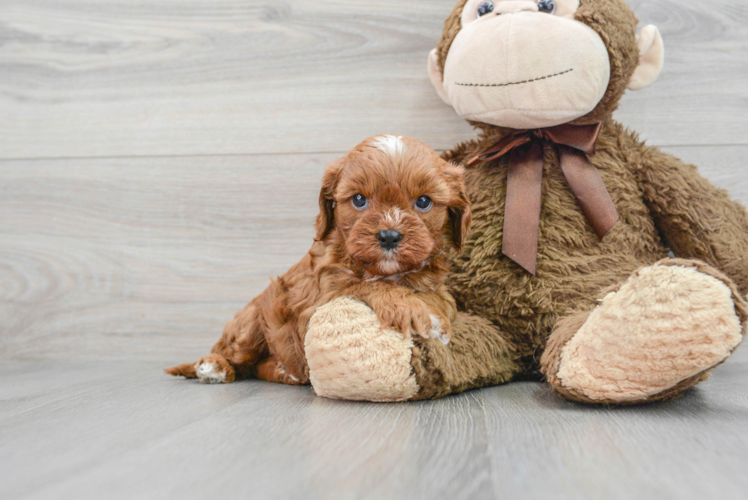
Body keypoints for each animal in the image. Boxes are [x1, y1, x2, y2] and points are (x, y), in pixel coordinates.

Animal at [166, 135, 470, 384]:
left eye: (423, 202)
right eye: (359, 199)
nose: (389, 236)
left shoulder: (434, 283)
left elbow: (443, 299)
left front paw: (433, 315)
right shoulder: (318, 301)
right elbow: (365, 285)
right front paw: (410, 308)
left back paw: (283, 370)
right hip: (252, 321)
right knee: (235, 356)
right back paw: (213, 366)